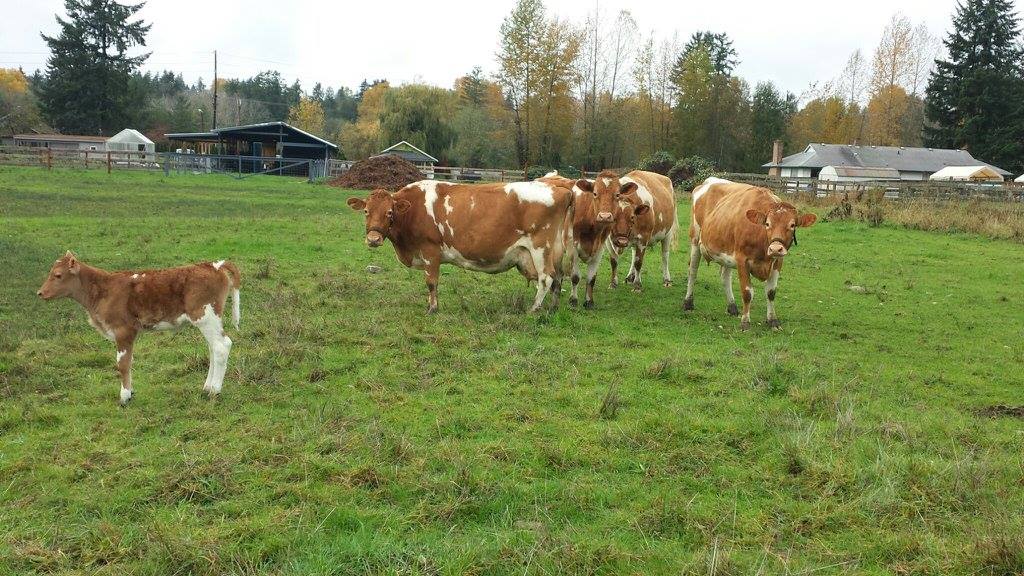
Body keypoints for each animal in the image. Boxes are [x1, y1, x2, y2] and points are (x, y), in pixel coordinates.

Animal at [36, 251, 241, 403]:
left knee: (221, 346)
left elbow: (123, 363)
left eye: (58, 275)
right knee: (213, 348)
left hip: (205, 316)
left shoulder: (123, 330)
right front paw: (130, 391)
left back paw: (215, 390)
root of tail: (213, 265)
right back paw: (207, 387)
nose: (40, 293)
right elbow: (129, 361)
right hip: (208, 320)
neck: (103, 289)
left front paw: (124, 396)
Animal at [348, 180, 577, 311]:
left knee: (546, 278)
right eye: (366, 211)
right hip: (555, 249)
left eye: (389, 212)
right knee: (558, 277)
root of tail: (561, 189)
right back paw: (553, 308)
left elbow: (431, 283)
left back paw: (534, 309)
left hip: (541, 248)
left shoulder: (430, 251)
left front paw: (432, 308)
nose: (373, 239)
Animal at [536, 168, 647, 307]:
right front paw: (573, 300)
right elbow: (575, 277)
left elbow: (591, 278)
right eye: (594, 193)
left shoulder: (599, 248)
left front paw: (589, 301)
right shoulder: (573, 247)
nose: (605, 216)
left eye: (617, 194)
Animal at [684, 175, 819, 330]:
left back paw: (732, 307)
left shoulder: (778, 261)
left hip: (727, 251)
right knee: (693, 271)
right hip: (695, 239)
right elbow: (747, 292)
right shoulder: (742, 259)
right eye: (767, 224)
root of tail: (709, 181)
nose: (775, 248)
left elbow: (771, 292)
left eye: (792, 225)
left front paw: (773, 320)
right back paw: (688, 303)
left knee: (725, 277)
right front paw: (745, 322)